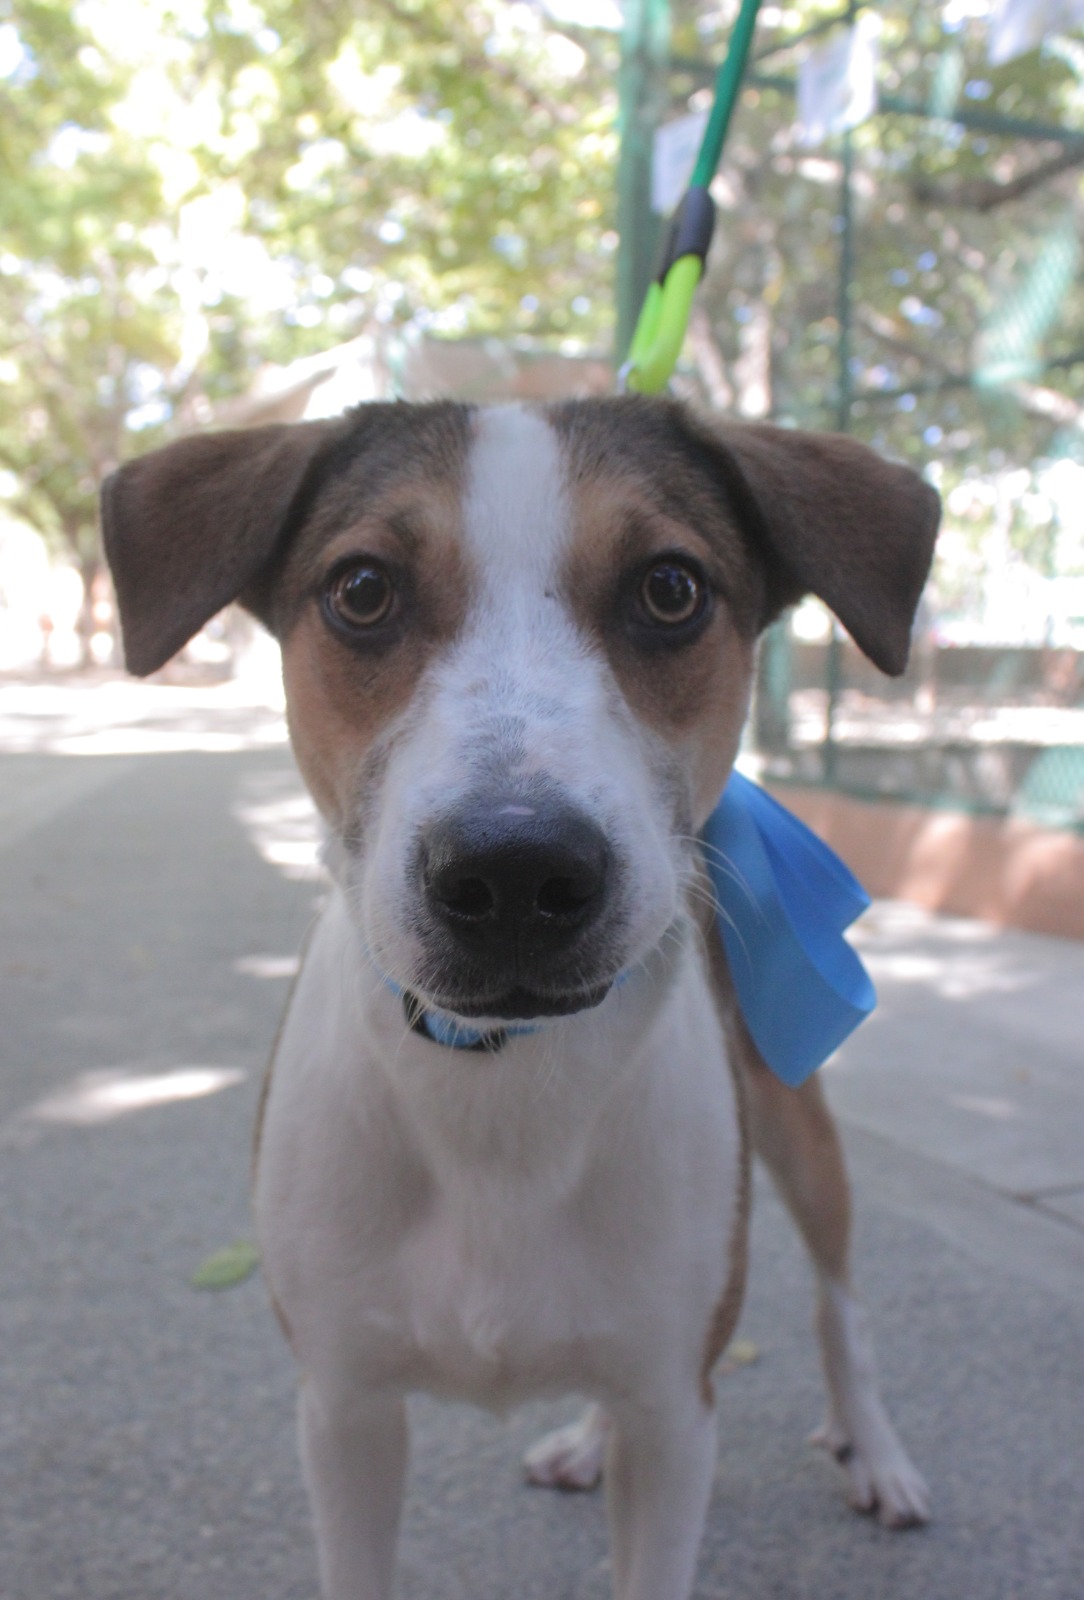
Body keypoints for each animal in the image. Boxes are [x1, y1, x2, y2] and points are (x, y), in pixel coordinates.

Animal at [107, 396, 940, 1600]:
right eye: (363, 589)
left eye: (670, 588)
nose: (512, 872)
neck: (498, 1080)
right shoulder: (344, 1411)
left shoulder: (679, 1418)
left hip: (793, 1123)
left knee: (842, 1307)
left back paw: (874, 1451)